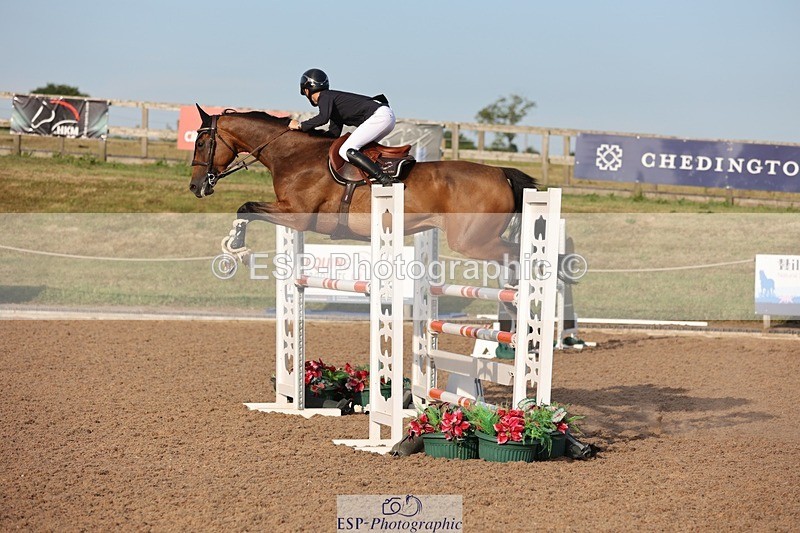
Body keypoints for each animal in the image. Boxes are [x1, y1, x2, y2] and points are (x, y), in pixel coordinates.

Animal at [188, 106, 539, 262]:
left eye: (202, 143)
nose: (195, 187)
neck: (293, 155)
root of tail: (501, 173)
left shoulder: (297, 216)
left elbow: (245, 207)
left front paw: (236, 247)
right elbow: (246, 208)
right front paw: (234, 244)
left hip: (472, 242)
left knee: (519, 255)